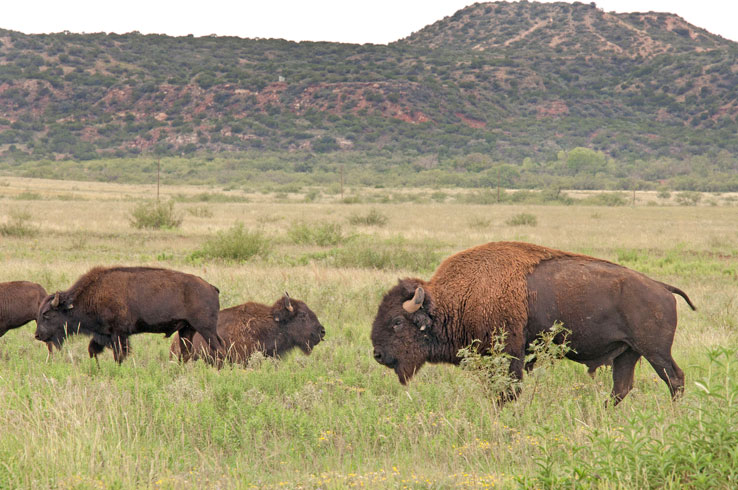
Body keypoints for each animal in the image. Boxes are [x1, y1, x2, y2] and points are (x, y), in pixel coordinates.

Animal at [34, 266, 223, 362]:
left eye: (47, 314)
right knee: (185, 353)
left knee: (218, 348)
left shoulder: (118, 334)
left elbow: (119, 355)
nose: (37, 335)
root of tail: (211, 287)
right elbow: (92, 350)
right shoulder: (104, 335)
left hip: (205, 329)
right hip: (186, 330)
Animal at [370, 241, 692, 406]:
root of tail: (662, 287)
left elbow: (508, 390)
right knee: (621, 388)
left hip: (654, 351)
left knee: (674, 379)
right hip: (628, 353)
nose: (377, 354)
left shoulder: (510, 354)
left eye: (397, 321)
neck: (457, 297)